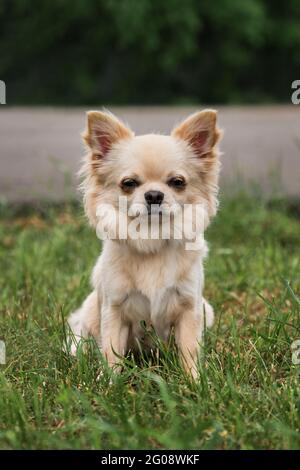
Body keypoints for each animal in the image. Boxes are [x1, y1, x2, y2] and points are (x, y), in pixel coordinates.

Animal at [68, 110, 223, 378]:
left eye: (178, 182)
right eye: (128, 183)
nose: (154, 195)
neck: (152, 237)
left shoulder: (189, 308)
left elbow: (189, 351)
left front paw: (195, 381)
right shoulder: (114, 310)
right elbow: (111, 352)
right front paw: (107, 383)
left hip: (207, 310)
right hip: (90, 312)